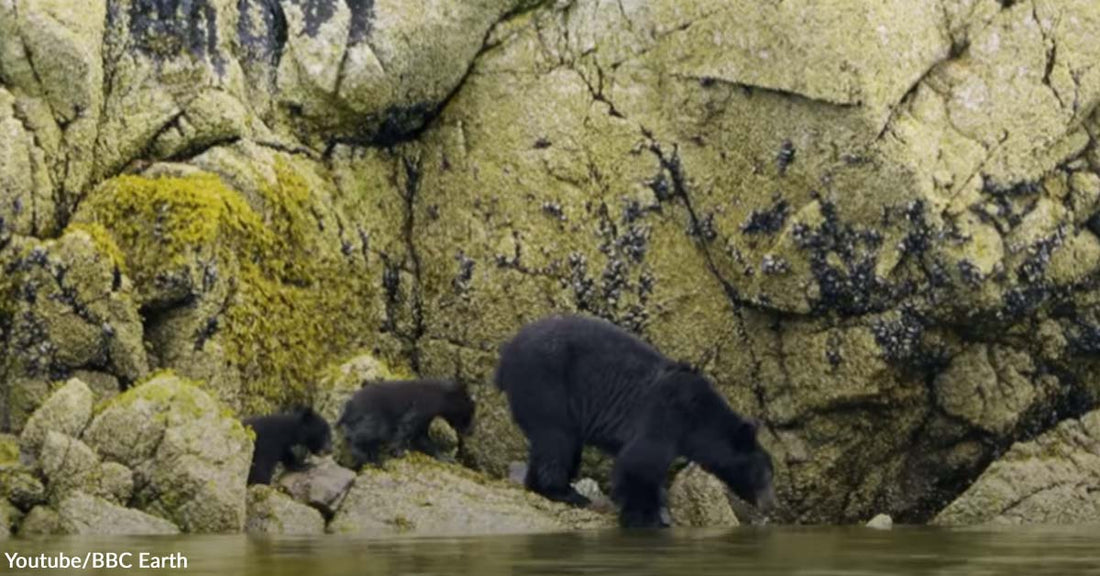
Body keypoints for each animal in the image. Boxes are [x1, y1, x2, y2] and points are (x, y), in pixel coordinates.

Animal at [334, 378, 473, 468]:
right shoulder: (423, 406)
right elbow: (407, 426)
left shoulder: (425, 417)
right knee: (365, 434)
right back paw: (372, 458)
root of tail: (349, 407)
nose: (468, 432)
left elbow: (422, 437)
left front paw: (445, 457)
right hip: (374, 416)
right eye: (468, 416)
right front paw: (398, 451)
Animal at [495, 314, 778, 525]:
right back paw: (565, 493)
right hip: (546, 384)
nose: (770, 504)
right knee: (556, 439)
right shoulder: (667, 415)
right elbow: (639, 461)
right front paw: (647, 515)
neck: (698, 418)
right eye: (766, 474)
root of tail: (506, 353)